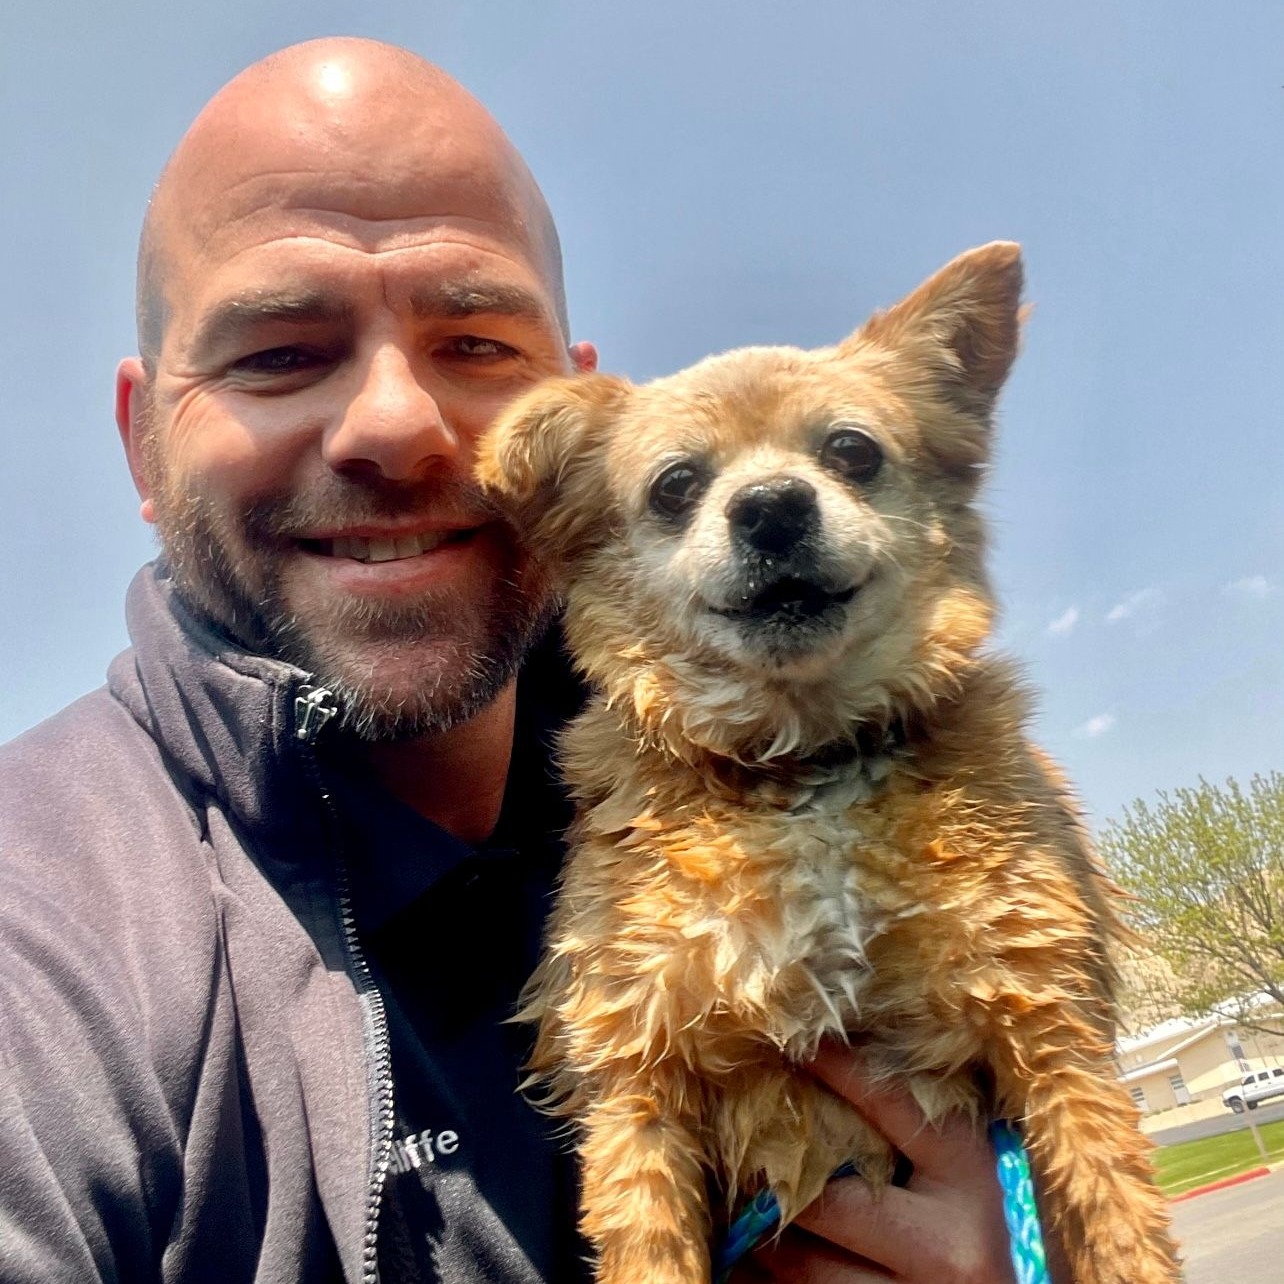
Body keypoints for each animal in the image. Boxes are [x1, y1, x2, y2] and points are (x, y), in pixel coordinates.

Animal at [477, 242, 1176, 1284]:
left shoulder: (1050, 1029)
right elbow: (652, 1253)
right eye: (675, 485)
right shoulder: (636, 1086)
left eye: (853, 452)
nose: (771, 507)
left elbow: (1118, 1231)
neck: (803, 768)